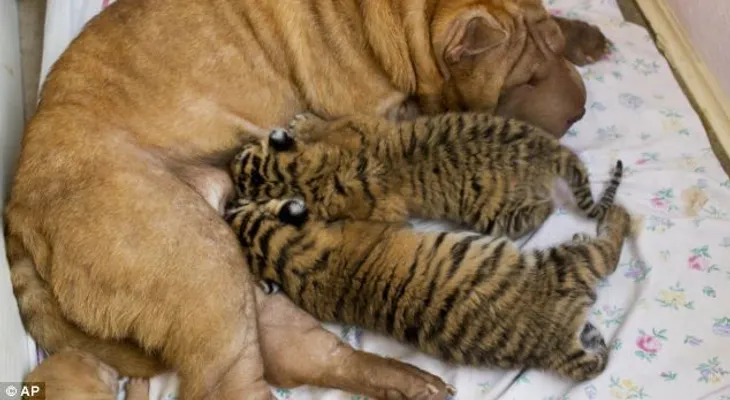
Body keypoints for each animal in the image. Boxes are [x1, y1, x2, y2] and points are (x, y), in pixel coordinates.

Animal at [224, 197, 632, 381]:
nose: (227, 203)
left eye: (238, 207)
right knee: (608, 253)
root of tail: (552, 346)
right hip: (570, 263)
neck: (290, 261)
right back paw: (619, 214)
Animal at [230, 112, 623, 240]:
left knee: (543, 211)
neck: (312, 176)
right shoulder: (357, 126)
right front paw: (305, 123)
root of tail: (548, 150)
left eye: (239, 164)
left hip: (497, 212)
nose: (231, 195)